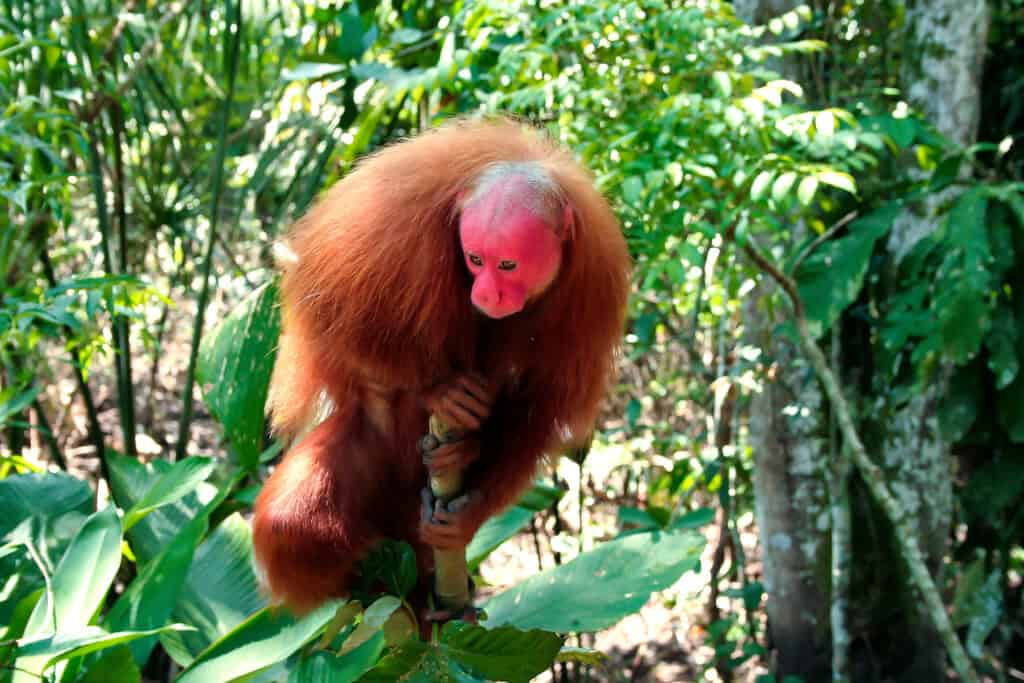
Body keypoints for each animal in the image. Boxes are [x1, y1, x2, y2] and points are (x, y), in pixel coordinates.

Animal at [249, 116, 630, 614]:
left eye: (507, 265)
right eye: (475, 259)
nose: (485, 294)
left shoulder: (594, 281)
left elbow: (545, 402)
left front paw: (470, 513)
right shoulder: (391, 225)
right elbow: (324, 305)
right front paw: (438, 392)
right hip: (366, 447)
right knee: (290, 527)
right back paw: (386, 593)